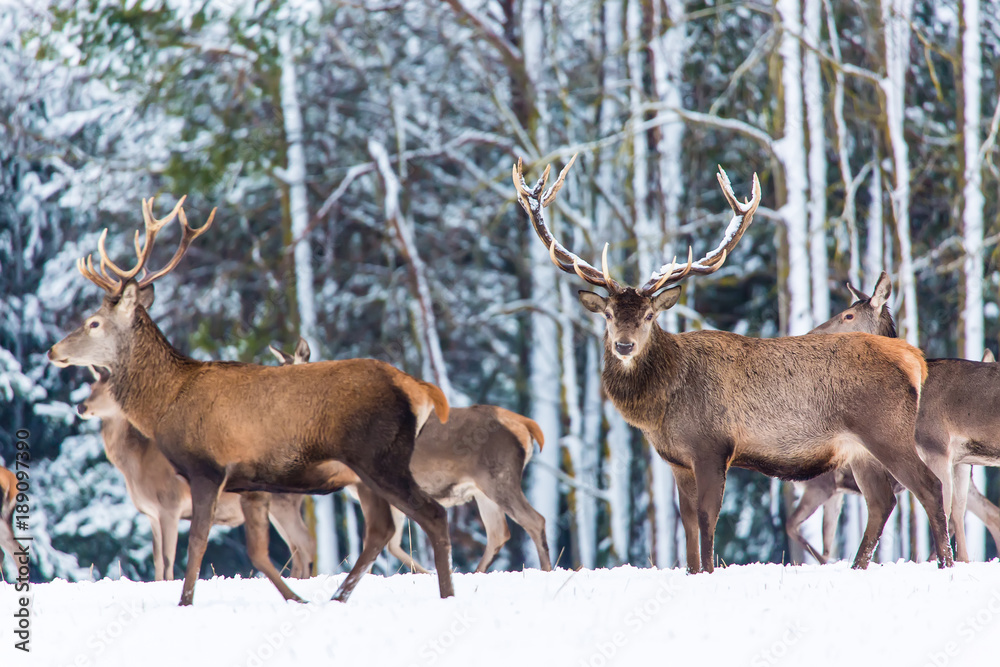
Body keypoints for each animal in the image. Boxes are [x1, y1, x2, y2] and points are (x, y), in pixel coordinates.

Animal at [78, 365, 316, 580]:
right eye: (91, 386)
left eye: (110, 390)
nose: (81, 406)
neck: (137, 465)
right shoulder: (151, 513)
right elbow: (157, 558)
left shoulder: (170, 505)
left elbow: (168, 557)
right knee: (297, 548)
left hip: (283, 503)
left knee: (306, 543)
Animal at [270, 338, 552, 573]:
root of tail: (525, 425)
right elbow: (392, 543)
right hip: (483, 488)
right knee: (499, 533)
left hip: (499, 476)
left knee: (534, 520)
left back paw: (546, 570)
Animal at [513, 156, 954, 573]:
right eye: (607, 315)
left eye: (650, 316)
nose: (623, 345)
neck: (662, 407)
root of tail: (912, 358)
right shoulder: (676, 460)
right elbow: (688, 523)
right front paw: (693, 571)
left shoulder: (712, 445)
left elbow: (708, 518)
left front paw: (708, 572)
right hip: (859, 451)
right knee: (882, 502)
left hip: (887, 430)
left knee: (930, 487)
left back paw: (946, 563)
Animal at [790, 272, 1000, 562]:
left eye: (848, 315)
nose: (810, 335)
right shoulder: (959, 458)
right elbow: (955, 513)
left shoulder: (935, 445)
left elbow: (943, 508)